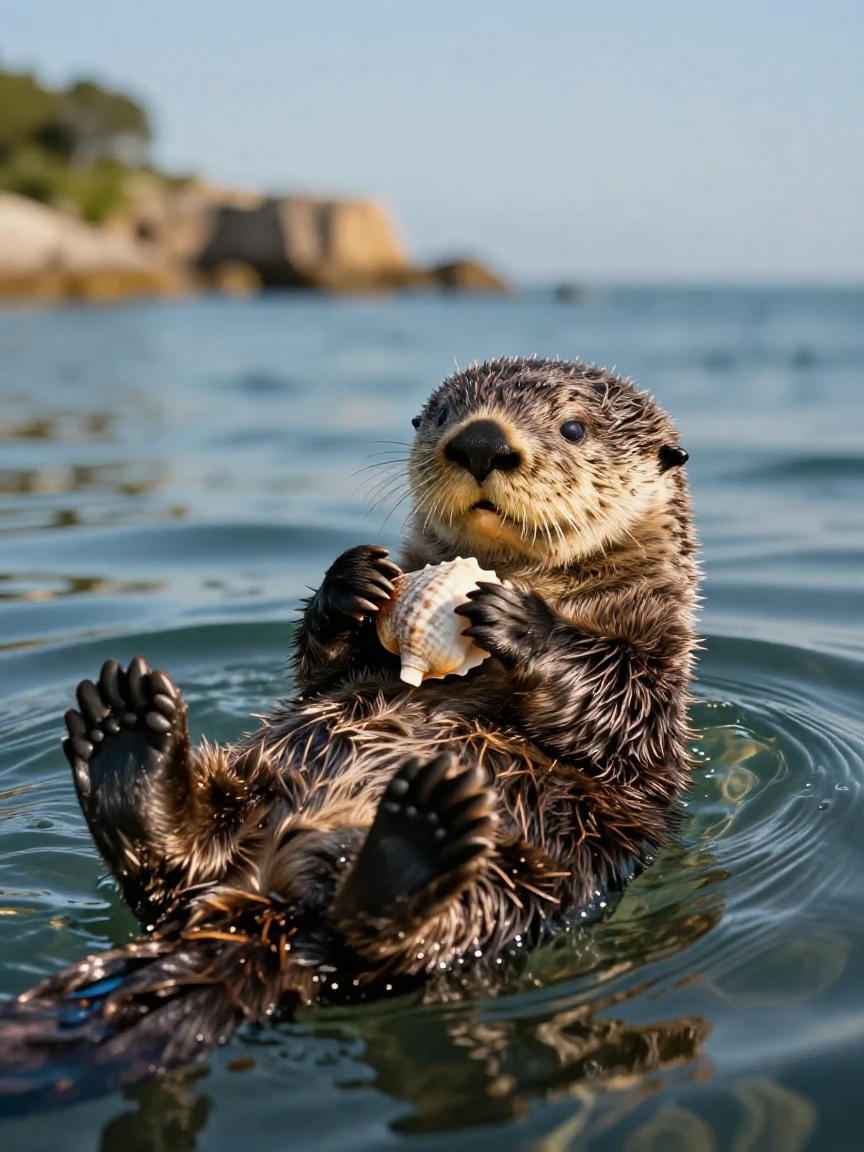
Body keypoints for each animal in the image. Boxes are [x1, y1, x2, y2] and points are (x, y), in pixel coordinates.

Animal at [0, 356, 697, 1107]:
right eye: (445, 413)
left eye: (573, 427)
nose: (481, 441)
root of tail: (276, 901)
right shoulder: (333, 678)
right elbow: (320, 669)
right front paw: (353, 582)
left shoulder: (656, 678)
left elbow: (616, 705)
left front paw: (516, 619)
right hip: (251, 786)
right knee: (172, 873)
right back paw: (126, 742)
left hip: (527, 874)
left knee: (378, 944)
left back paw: (419, 835)